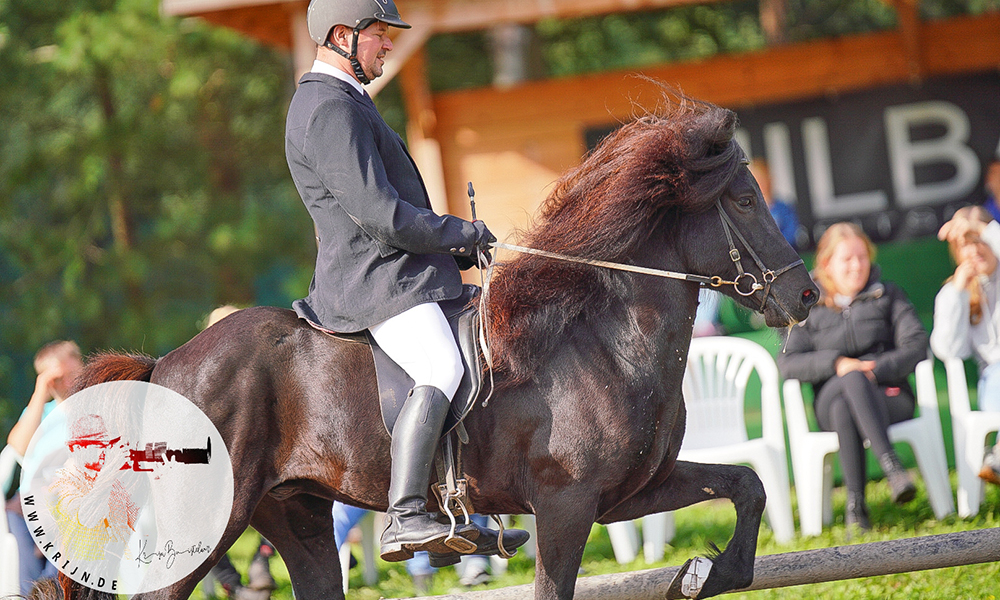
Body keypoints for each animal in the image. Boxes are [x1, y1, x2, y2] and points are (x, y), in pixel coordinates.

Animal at [66, 92, 816, 600]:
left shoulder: (629, 491)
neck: (604, 345)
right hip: (209, 520)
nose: (805, 296)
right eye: (744, 202)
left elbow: (746, 485)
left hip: (295, 512)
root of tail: (165, 364)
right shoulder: (566, 504)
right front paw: (705, 571)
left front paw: (710, 572)